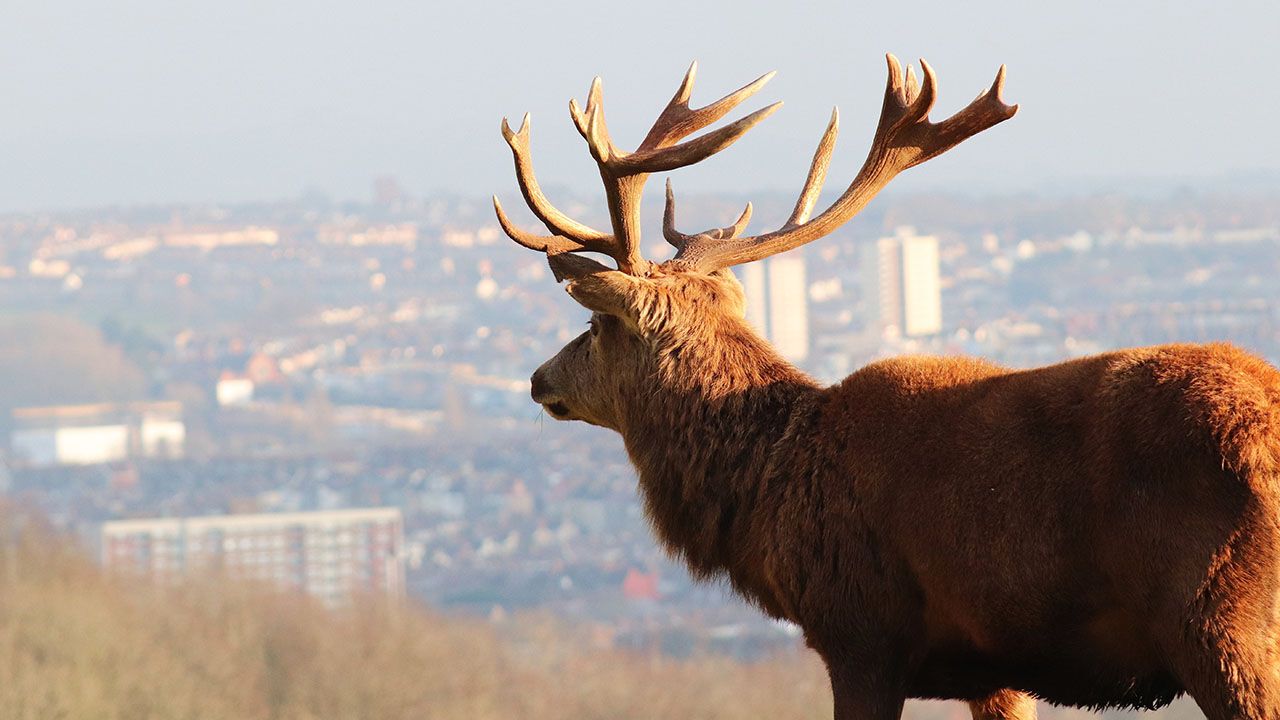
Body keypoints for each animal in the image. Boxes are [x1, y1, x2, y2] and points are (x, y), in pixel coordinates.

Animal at [493, 55, 1280, 720]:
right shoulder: (995, 669)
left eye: (596, 323)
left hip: (1219, 623)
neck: (767, 494)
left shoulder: (861, 631)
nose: (537, 379)